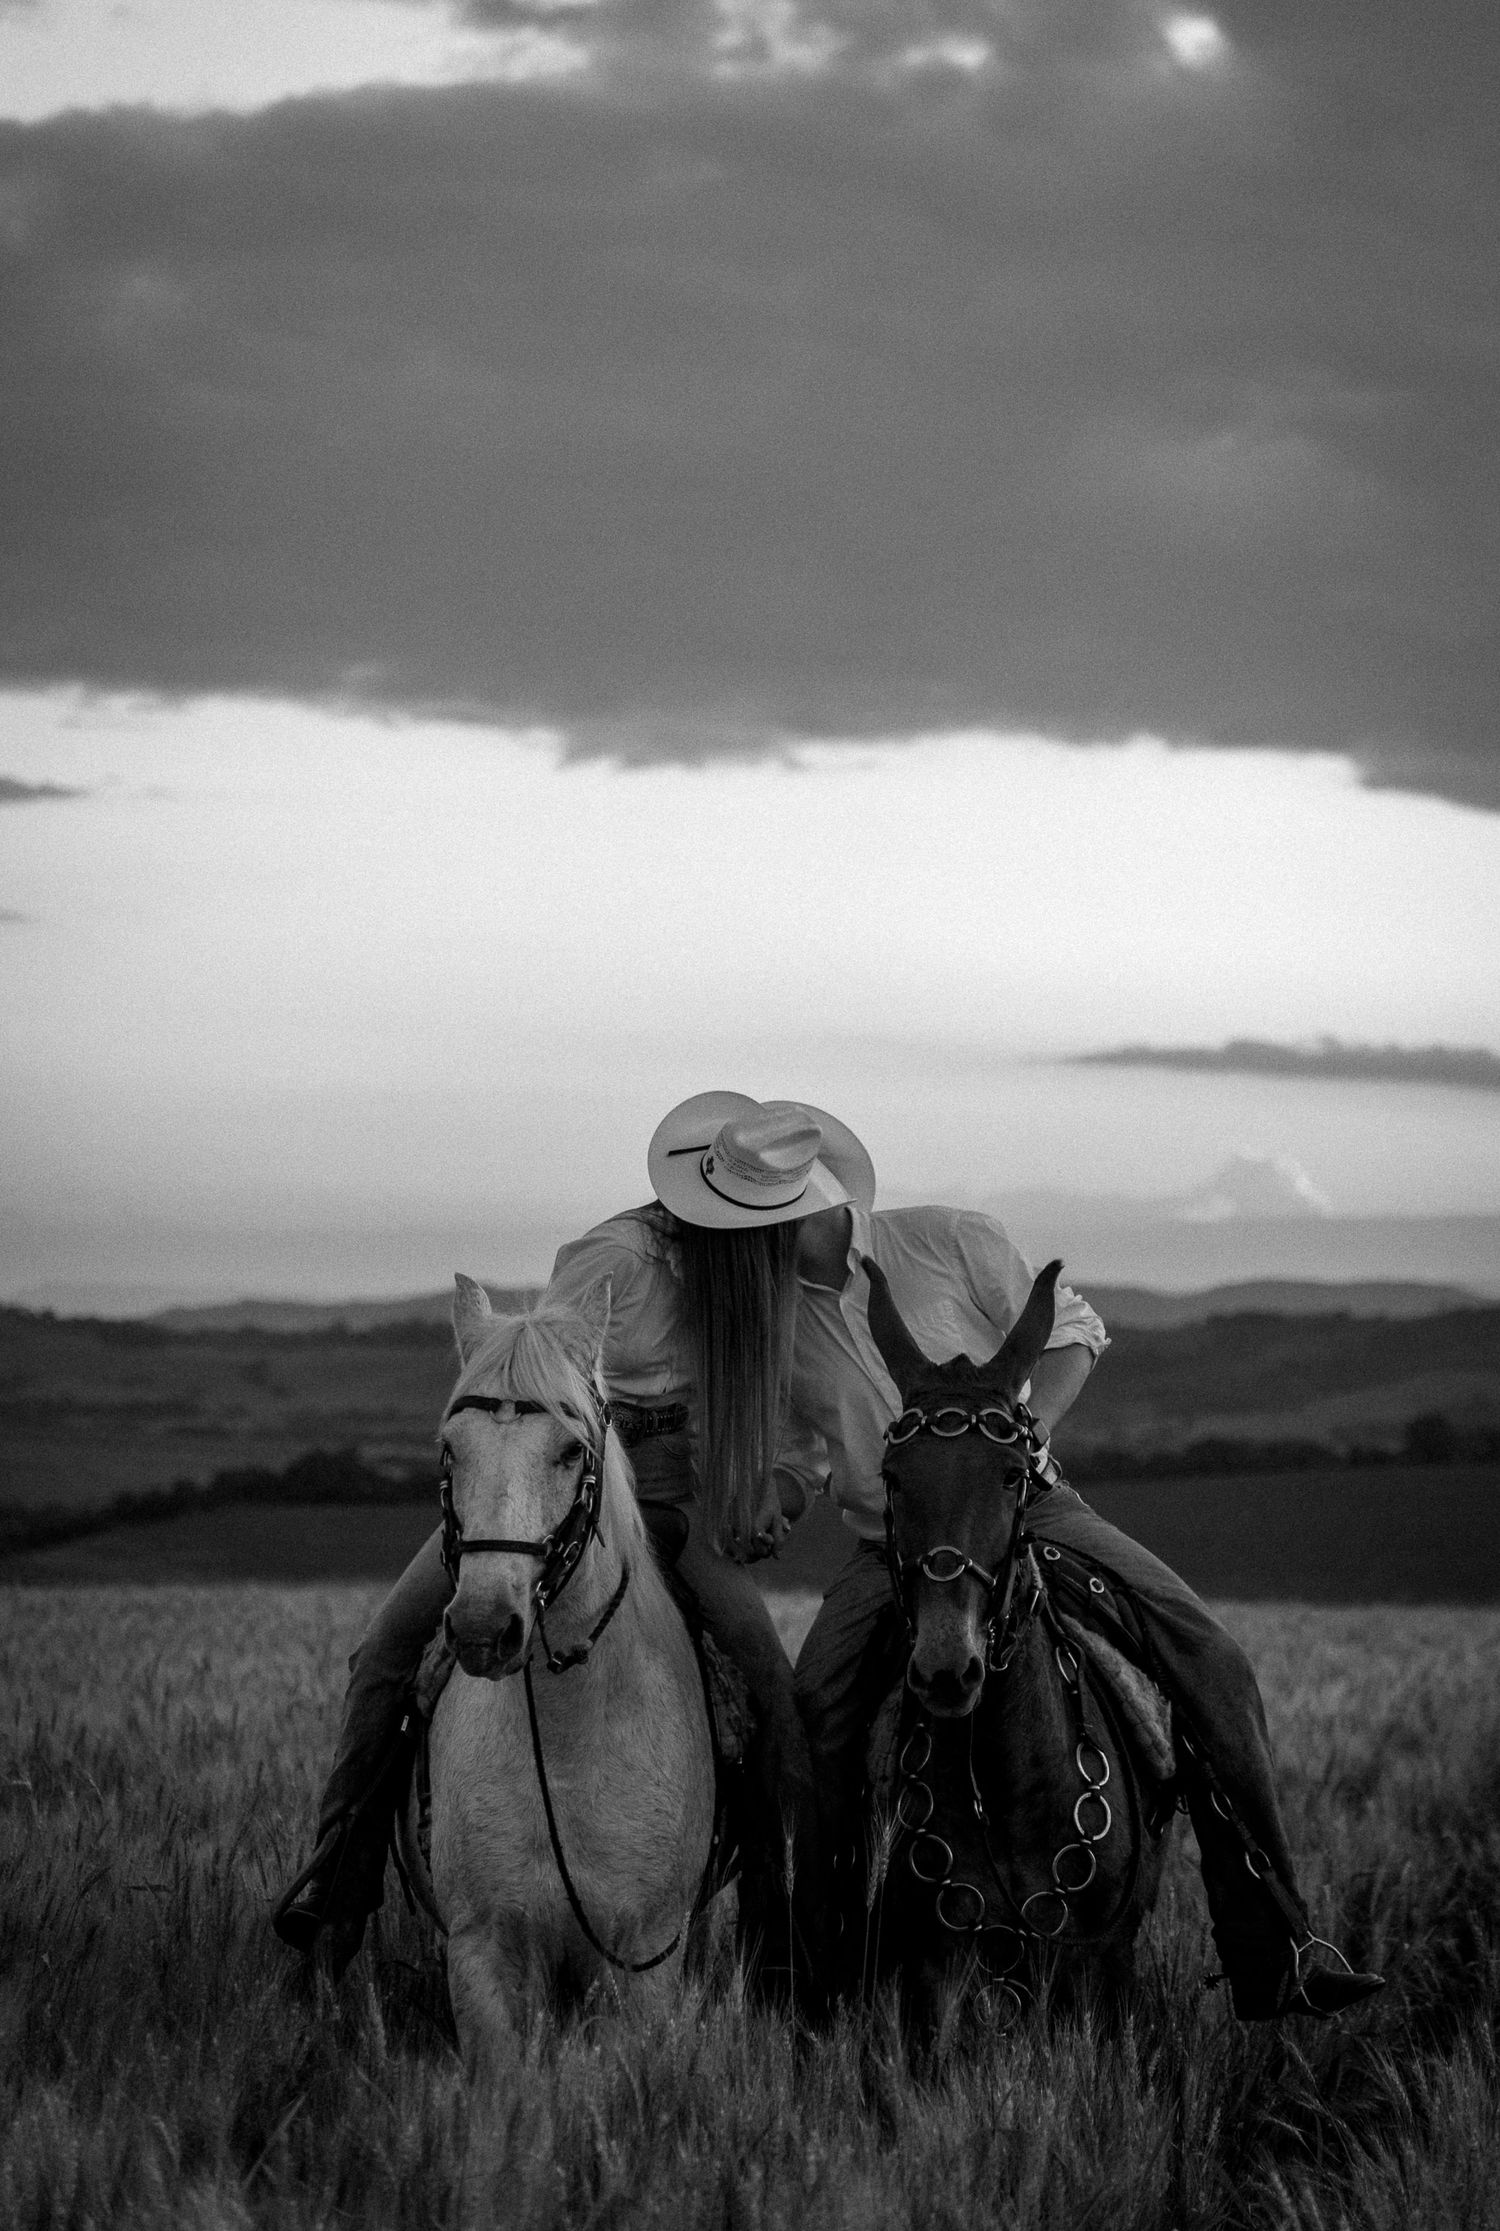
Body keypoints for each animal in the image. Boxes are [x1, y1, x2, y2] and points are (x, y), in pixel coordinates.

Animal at [396, 1275, 716, 2209]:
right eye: (450, 1448)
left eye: (570, 1450)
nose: (482, 1626)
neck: (568, 1739)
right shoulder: (486, 1952)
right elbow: (508, 2124)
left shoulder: (641, 1963)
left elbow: (609, 2111)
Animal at [849, 1255, 1172, 2037]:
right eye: (892, 1478)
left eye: (1010, 1474)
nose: (946, 1668)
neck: (1005, 1784)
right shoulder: (936, 1969)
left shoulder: (1105, 1960)